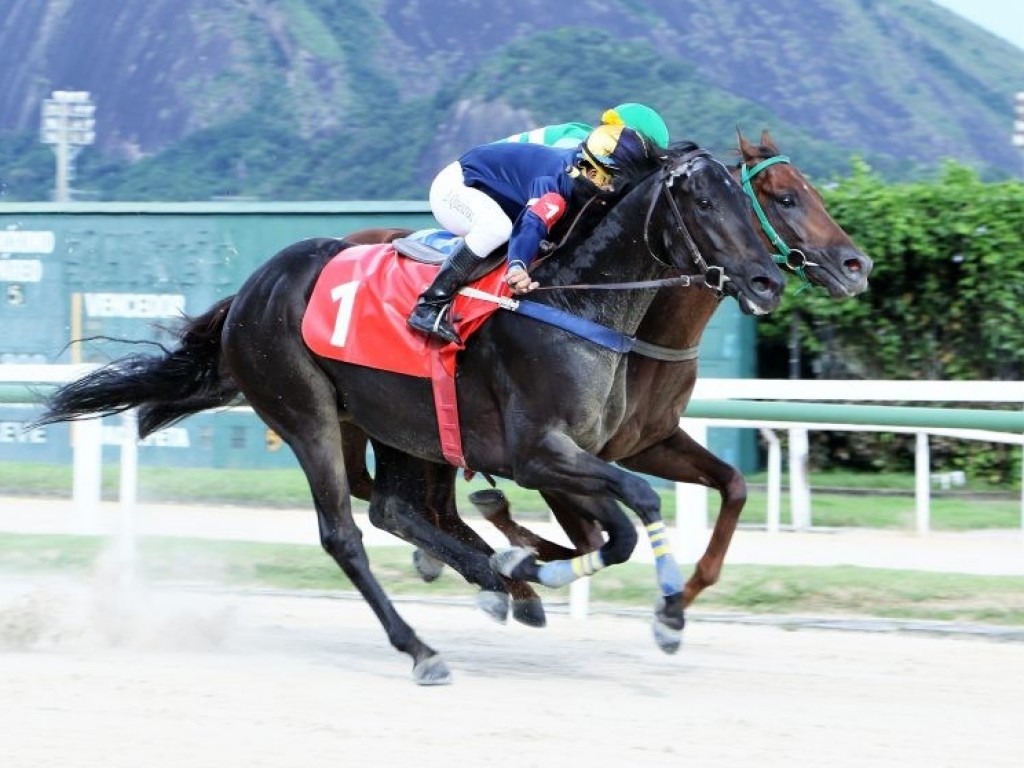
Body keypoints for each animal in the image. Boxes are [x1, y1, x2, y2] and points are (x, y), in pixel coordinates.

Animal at [34, 143, 782, 684]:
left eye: (750, 204)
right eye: (705, 201)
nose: (769, 280)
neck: (572, 304)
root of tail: (250, 290)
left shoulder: (579, 453)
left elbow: (617, 529)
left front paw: (542, 576)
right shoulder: (538, 453)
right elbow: (634, 509)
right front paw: (659, 612)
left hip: (394, 422)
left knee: (395, 508)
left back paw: (496, 581)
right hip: (306, 414)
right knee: (345, 534)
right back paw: (424, 646)